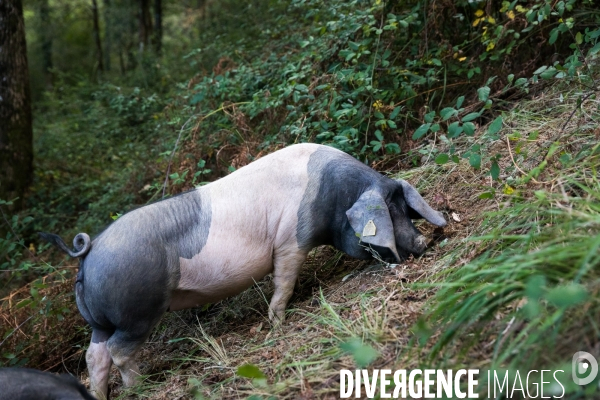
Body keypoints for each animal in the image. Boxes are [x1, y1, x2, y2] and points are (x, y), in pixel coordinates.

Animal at [41, 142, 446, 398]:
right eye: (392, 211)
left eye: (405, 208)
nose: (422, 243)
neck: (334, 198)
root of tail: (90, 250)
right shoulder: (290, 242)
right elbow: (284, 281)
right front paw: (278, 322)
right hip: (136, 311)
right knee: (119, 351)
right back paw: (140, 387)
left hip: (99, 322)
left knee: (95, 357)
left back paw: (101, 394)